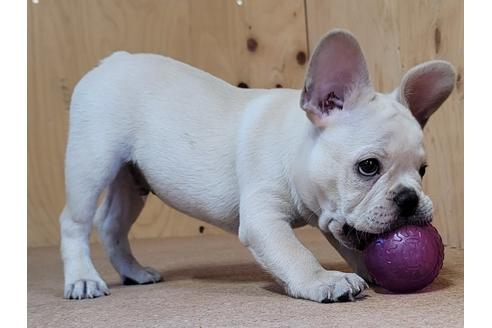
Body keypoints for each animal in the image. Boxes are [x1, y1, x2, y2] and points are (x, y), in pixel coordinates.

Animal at [59, 29, 456, 302]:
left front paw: (365, 269)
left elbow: (350, 243)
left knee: (111, 225)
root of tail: (114, 59)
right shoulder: (263, 219)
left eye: (422, 170)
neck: (294, 146)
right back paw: (82, 279)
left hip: (133, 180)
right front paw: (324, 280)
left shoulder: (330, 216)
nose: (409, 198)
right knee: (75, 222)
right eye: (369, 166)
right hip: (92, 162)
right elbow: (295, 252)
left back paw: (134, 272)